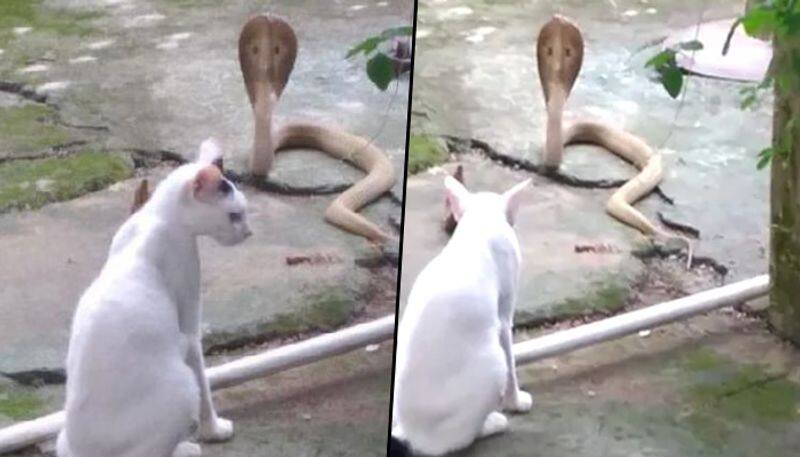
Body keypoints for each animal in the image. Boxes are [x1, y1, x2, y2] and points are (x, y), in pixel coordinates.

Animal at [57, 139, 250, 456]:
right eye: (235, 215)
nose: (248, 232)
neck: (154, 216)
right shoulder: (189, 326)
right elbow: (205, 386)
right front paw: (214, 430)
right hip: (181, 387)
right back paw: (186, 448)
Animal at [392, 175, 536, 456]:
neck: (478, 224)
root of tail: (410, 434)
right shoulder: (504, 317)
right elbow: (512, 363)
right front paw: (516, 402)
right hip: (493, 363)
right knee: (458, 440)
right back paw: (494, 422)